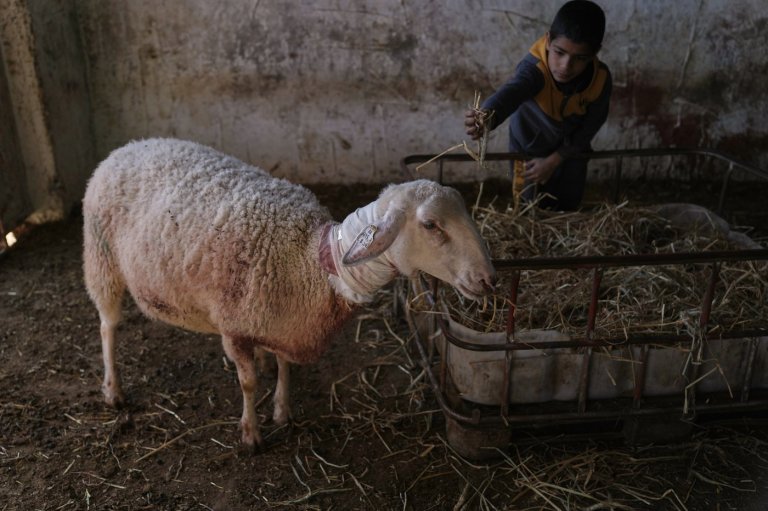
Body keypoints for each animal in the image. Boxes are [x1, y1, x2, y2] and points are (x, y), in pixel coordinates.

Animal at [82, 137, 496, 448]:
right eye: (431, 225)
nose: (488, 279)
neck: (309, 260)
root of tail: (130, 146)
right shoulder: (233, 328)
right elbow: (247, 383)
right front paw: (251, 433)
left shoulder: (285, 321)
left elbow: (285, 366)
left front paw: (282, 409)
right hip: (101, 259)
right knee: (107, 326)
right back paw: (113, 389)